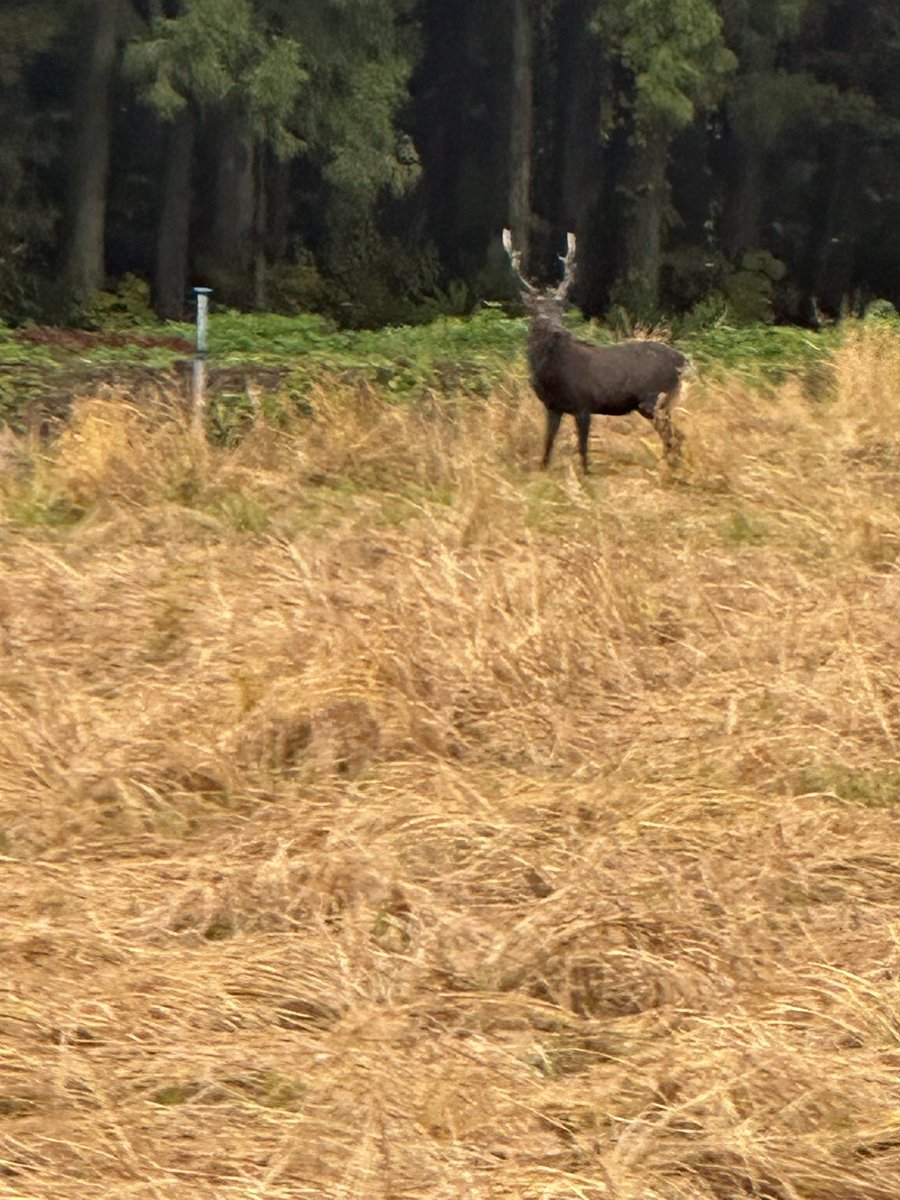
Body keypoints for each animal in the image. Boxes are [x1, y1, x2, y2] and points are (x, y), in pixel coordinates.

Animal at [503, 228, 692, 472]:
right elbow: (548, 445)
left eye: (560, 311)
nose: (558, 330)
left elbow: (583, 449)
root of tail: (684, 362)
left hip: (655, 399)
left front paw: (585, 475)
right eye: (537, 313)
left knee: (676, 436)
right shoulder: (553, 406)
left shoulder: (583, 403)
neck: (548, 374)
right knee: (675, 436)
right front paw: (543, 470)